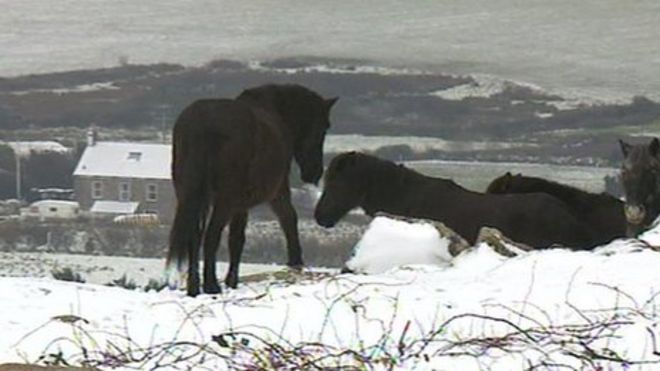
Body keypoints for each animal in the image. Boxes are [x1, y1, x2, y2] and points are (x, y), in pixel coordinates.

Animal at [168, 84, 338, 296]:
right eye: (324, 127)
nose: (315, 173)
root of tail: (202, 125)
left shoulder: (240, 205)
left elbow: (236, 240)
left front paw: (232, 281)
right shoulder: (276, 192)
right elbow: (288, 218)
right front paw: (295, 262)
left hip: (192, 197)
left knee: (195, 237)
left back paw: (194, 288)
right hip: (224, 200)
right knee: (211, 236)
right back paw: (211, 285)